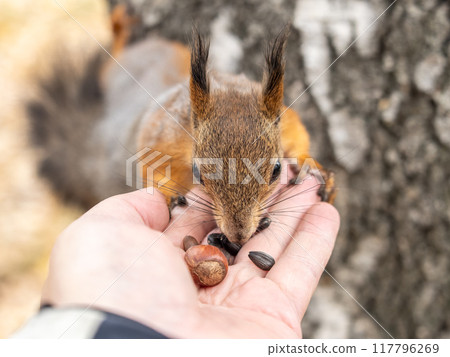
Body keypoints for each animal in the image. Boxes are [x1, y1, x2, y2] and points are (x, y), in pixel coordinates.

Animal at [24, 6, 334, 245]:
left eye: (277, 170)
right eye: (199, 173)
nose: (238, 236)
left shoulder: (286, 121)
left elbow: (300, 137)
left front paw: (309, 164)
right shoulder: (159, 133)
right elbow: (149, 167)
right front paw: (168, 193)